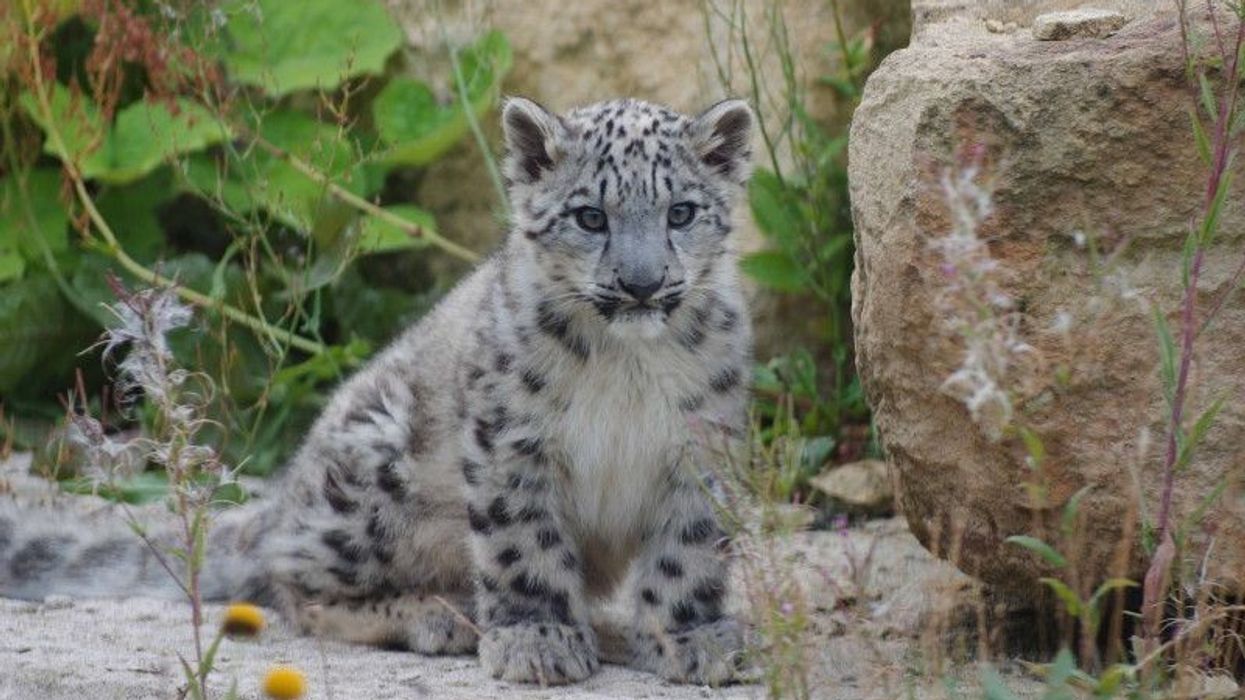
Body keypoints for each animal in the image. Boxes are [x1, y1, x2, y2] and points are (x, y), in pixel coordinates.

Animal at [0, 96, 755, 686]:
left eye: (681, 213)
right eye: (590, 217)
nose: (641, 284)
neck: (626, 369)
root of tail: (282, 499)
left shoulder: (703, 445)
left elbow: (686, 553)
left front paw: (692, 640)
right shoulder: (512, 442)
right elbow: (523, 545)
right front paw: (536, 640)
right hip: (370, 476)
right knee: (292, 588)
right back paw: (439, 615)